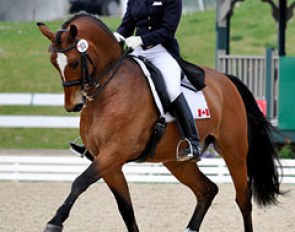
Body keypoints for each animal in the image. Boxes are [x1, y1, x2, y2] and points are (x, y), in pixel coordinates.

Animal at [37, 14, 282, 232]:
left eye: (74, 62)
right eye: (53, 63)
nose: (74, 105)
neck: (109, 90)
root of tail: (226, 80)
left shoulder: (115, 152)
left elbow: (80, 181)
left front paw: (55, 222)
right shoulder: (106, 160)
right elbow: (126, 208)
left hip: (234, 151)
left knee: (243, 198)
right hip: (177, 161)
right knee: (207, 189)